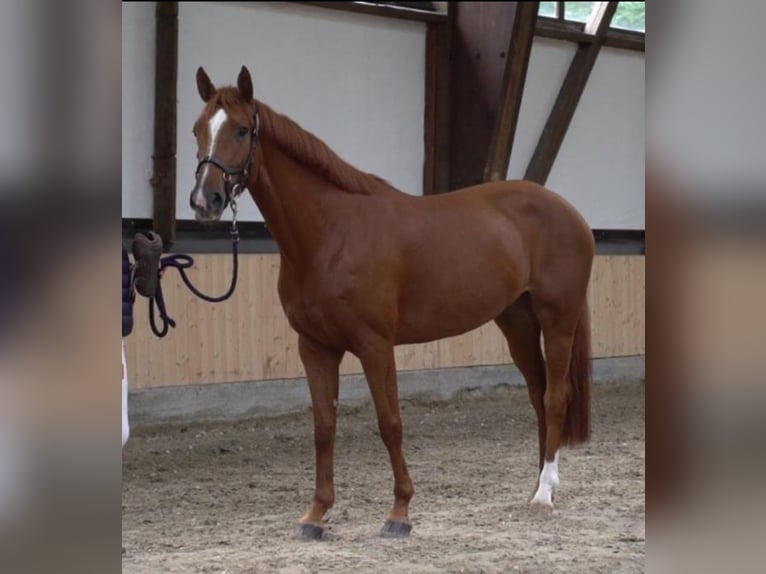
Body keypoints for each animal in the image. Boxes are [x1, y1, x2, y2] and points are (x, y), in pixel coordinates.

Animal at [189, 66, 596, 540]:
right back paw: (536, 487)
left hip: (558, 318)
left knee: (556, 396)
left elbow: (390, 423)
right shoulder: (315, 348)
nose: (204, 201)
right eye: (197, 129)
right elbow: (323, 427)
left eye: (240, 129)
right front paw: (315, 514)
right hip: (516, 322)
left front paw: (399, 512)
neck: (330, 233)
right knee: (538, 393)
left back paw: (545, 493)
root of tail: (569, 212)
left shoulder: (375, 345)